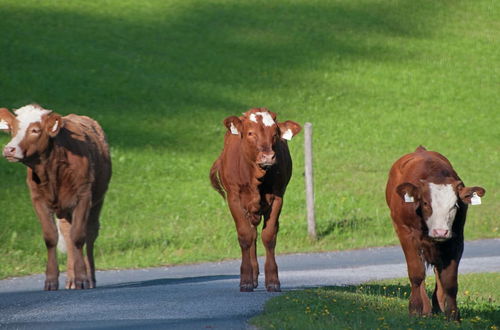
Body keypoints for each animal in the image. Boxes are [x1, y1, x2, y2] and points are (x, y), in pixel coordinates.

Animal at [0, 104, 111, 290]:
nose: (9, 149)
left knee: (89, 234)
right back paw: (71, 279)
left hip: (97, 201)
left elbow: (79, 236)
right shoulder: (38, 200)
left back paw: (90, 278)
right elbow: (51, 237)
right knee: (67, 234)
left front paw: (83, 277)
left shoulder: (83, 197)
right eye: (12, 129)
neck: (50, 171)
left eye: (35, 130)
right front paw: (51, 280)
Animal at [208, 108, 298, 292]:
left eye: (275, 134)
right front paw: (246, 280)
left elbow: (269, 236)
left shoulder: (278, 197)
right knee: (251, 235)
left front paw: (273, 280)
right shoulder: (234, 199)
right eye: (250, 133)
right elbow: (244, 236)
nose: (268, 157)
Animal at [386, 146, 484, 320]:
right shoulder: (406, 234)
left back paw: (438, 305)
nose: (440, 231)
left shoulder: (456, 239)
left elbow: (449, 281)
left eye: (455, 205)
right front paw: (416, 309)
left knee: (439, 271)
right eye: (425, 203)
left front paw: (453, 315)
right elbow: (416, 273)